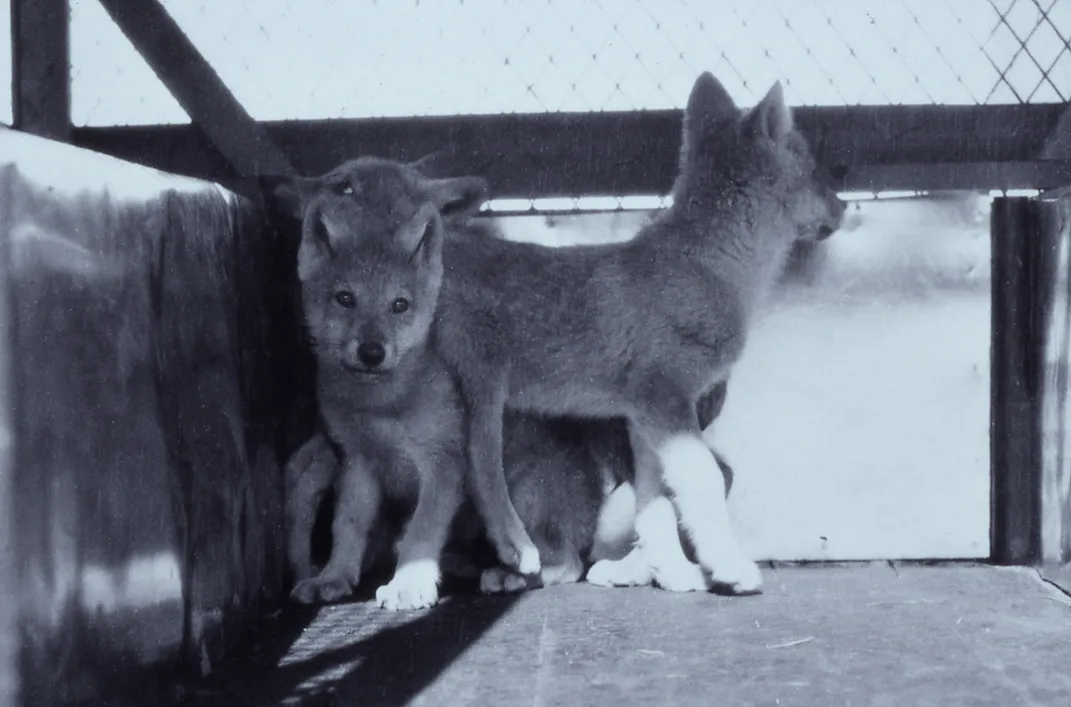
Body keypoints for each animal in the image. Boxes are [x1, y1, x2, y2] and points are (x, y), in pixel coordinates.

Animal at [427, 72, 844, 594]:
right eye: (814, 168)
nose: (844, 206)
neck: (710, 269)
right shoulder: (663, 400)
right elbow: (702, 481)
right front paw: (728, 567)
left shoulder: (645, 418)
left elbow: (657, 503)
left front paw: (669, 571)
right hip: (483, 390)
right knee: (491, 481)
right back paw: (511, 562)